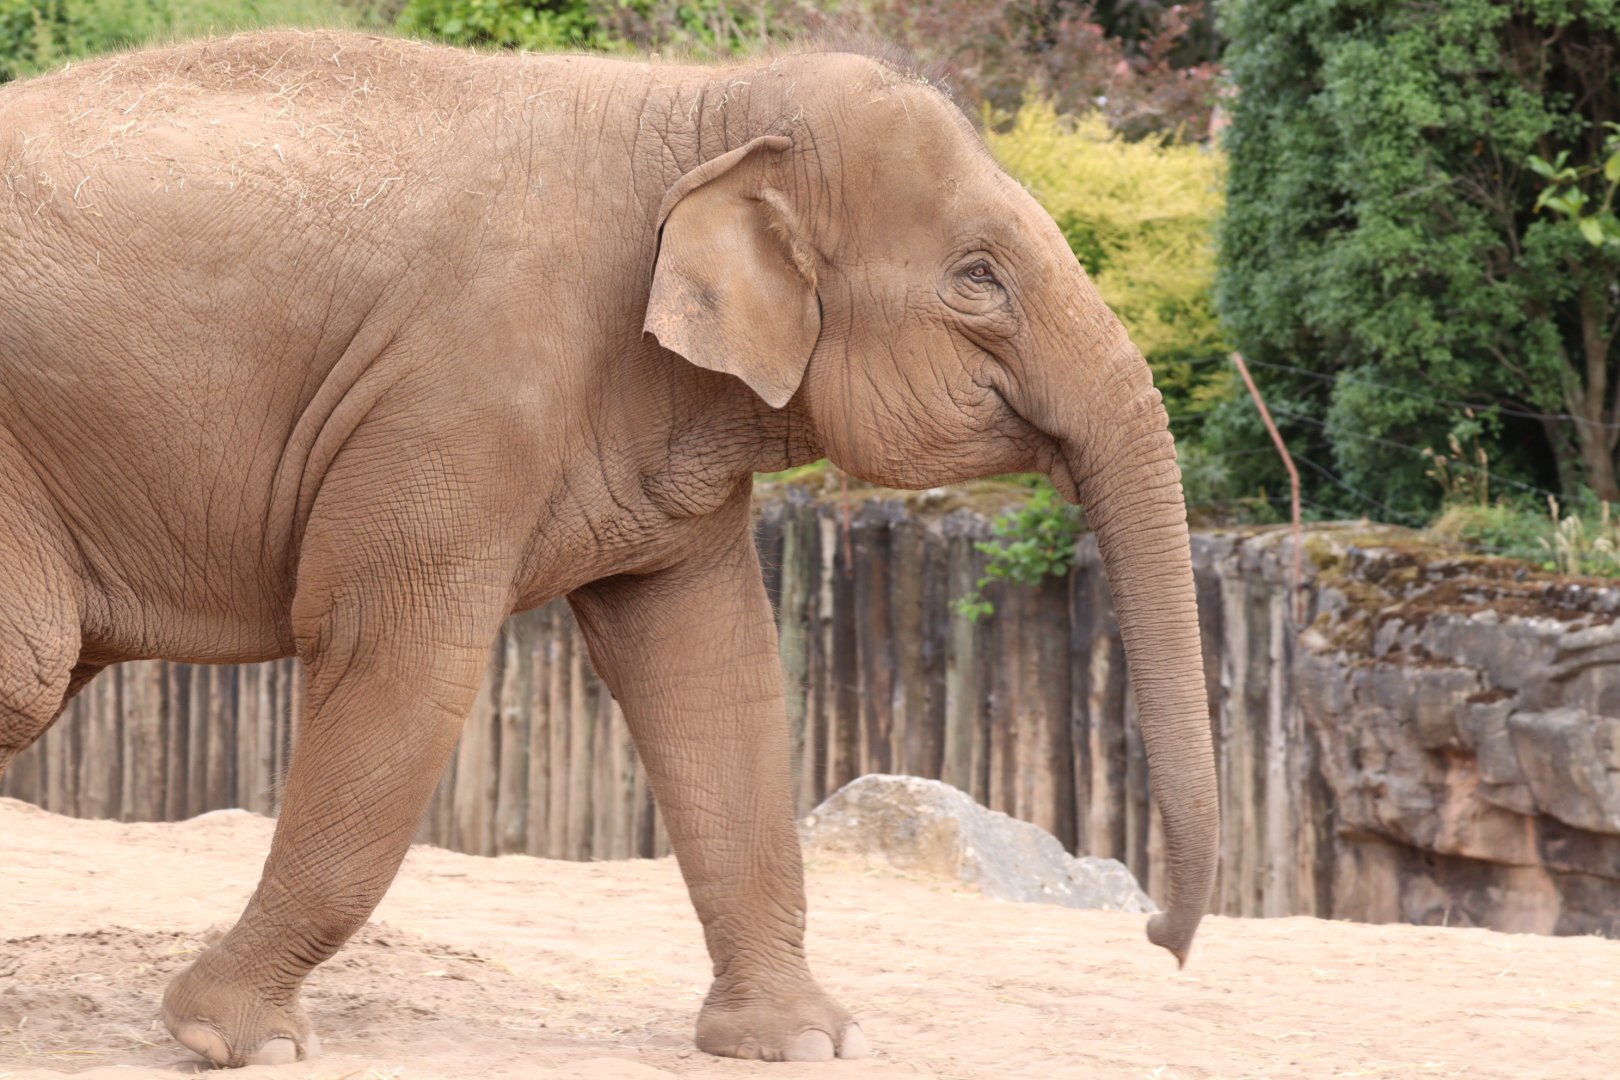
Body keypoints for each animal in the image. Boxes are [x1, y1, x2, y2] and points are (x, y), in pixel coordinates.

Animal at [0, 30, 1218, 1067]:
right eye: (978, 277)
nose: (1161, 939)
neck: (702, 106)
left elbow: (712, 668)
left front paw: (798, 1042)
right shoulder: (459, 391)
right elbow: (394, 658)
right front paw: (228, 1038)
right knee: (30, 675)